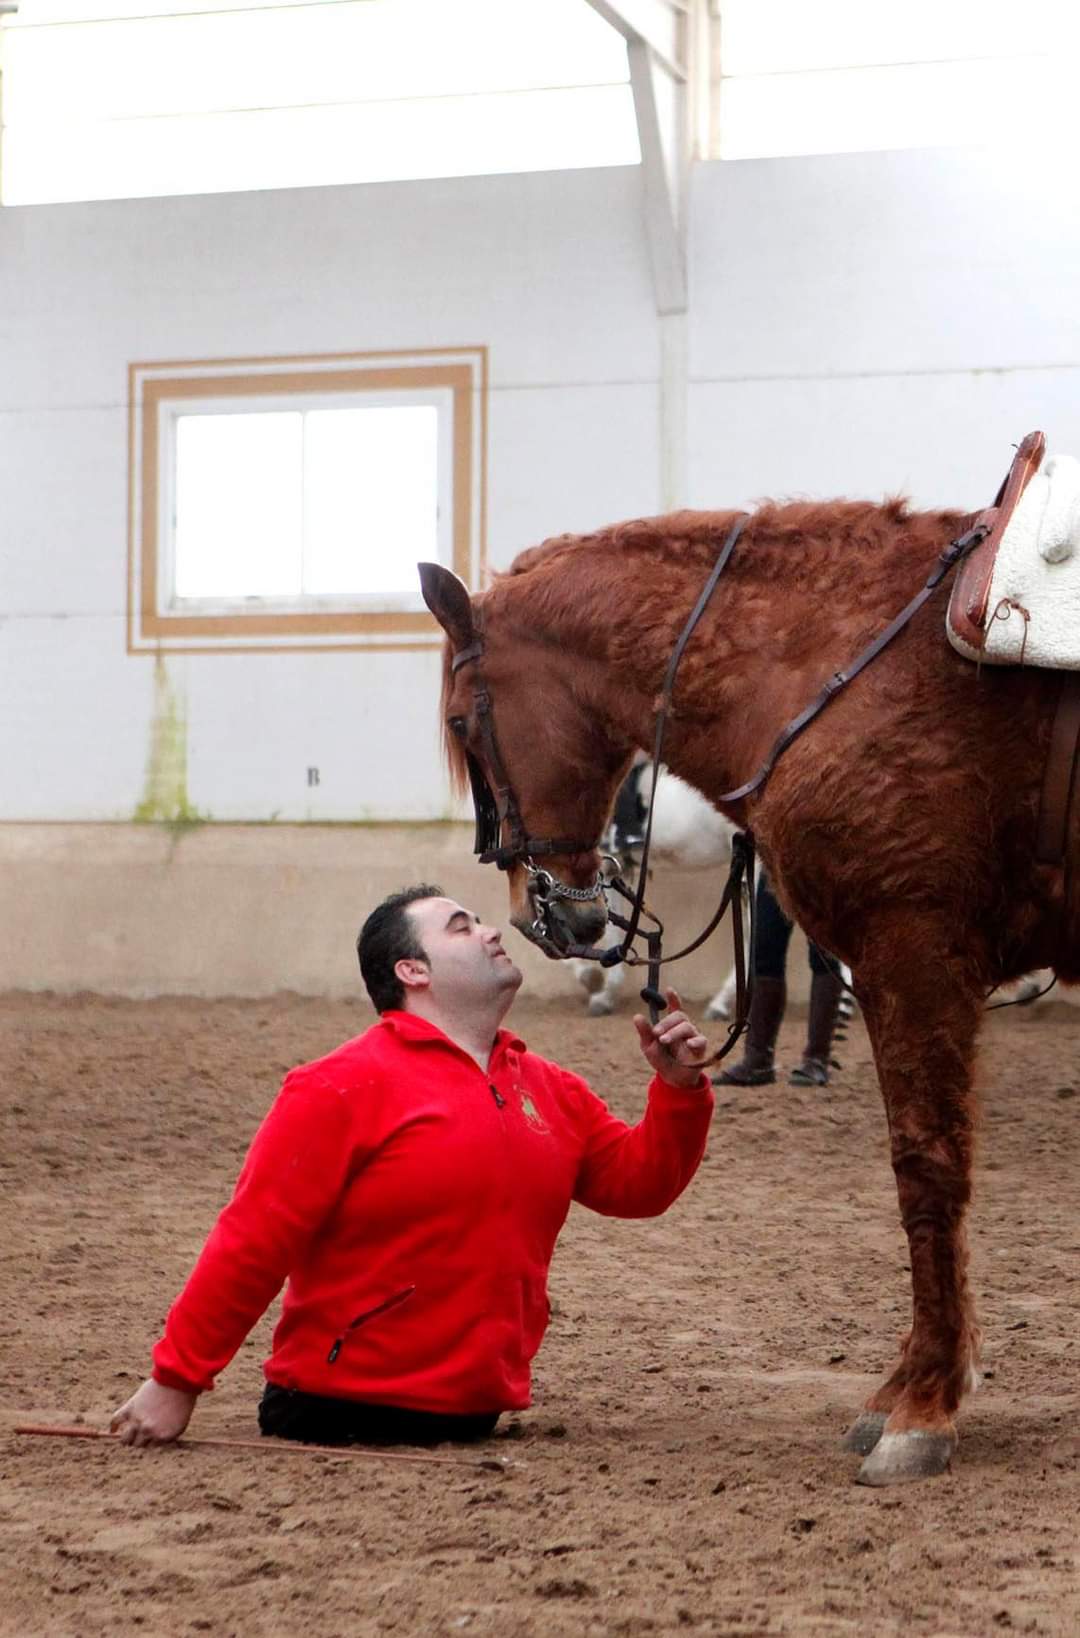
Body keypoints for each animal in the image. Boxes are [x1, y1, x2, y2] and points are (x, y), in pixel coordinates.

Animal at [419, 469, 1080, 1487]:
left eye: (463, 721)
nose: (548, 915)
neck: (839, 650)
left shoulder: (914, 949)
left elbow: (928, 1170)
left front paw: (924, 1405)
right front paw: (908, 1386)